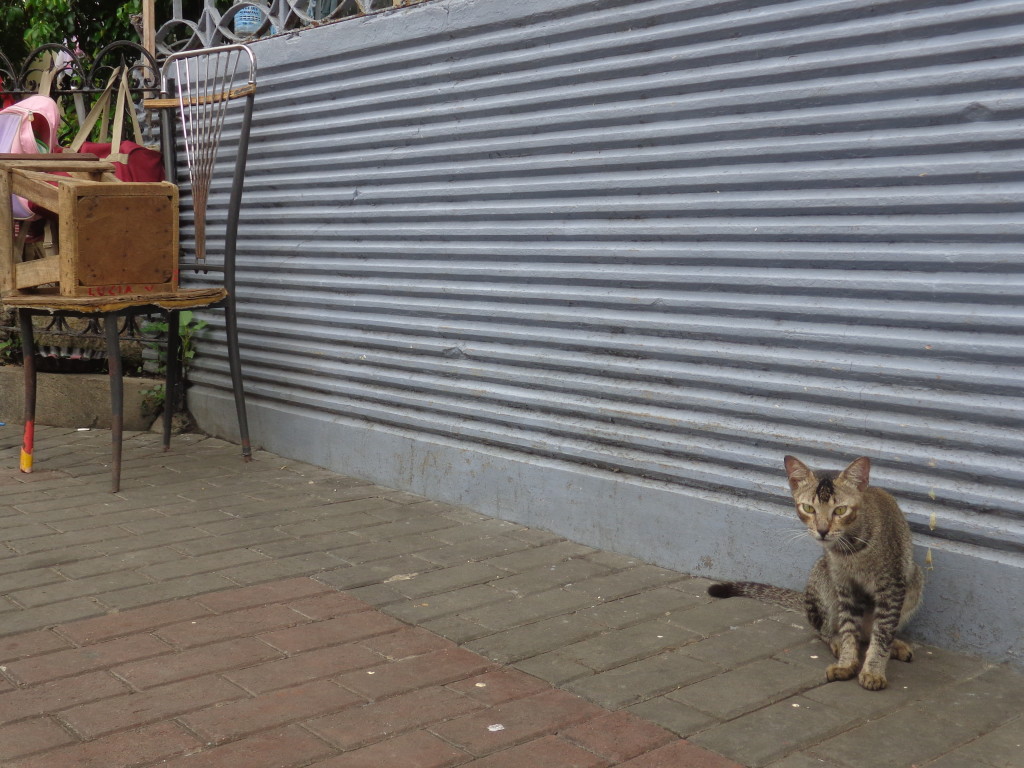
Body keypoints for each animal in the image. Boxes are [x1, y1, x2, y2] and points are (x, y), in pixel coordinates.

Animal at [708, 456, 925, 692]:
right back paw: (837, 640)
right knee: (825, 629)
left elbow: (883, 632)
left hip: (915, 579)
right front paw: (847, 662)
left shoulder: (891, 586)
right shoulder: (845, 586)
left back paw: (894, 645)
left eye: (840, 510)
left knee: (874, 631)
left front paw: (873, 670)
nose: (822, 530)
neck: (849, 549)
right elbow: (849, 629)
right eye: (808, 508)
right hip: (823, 575)